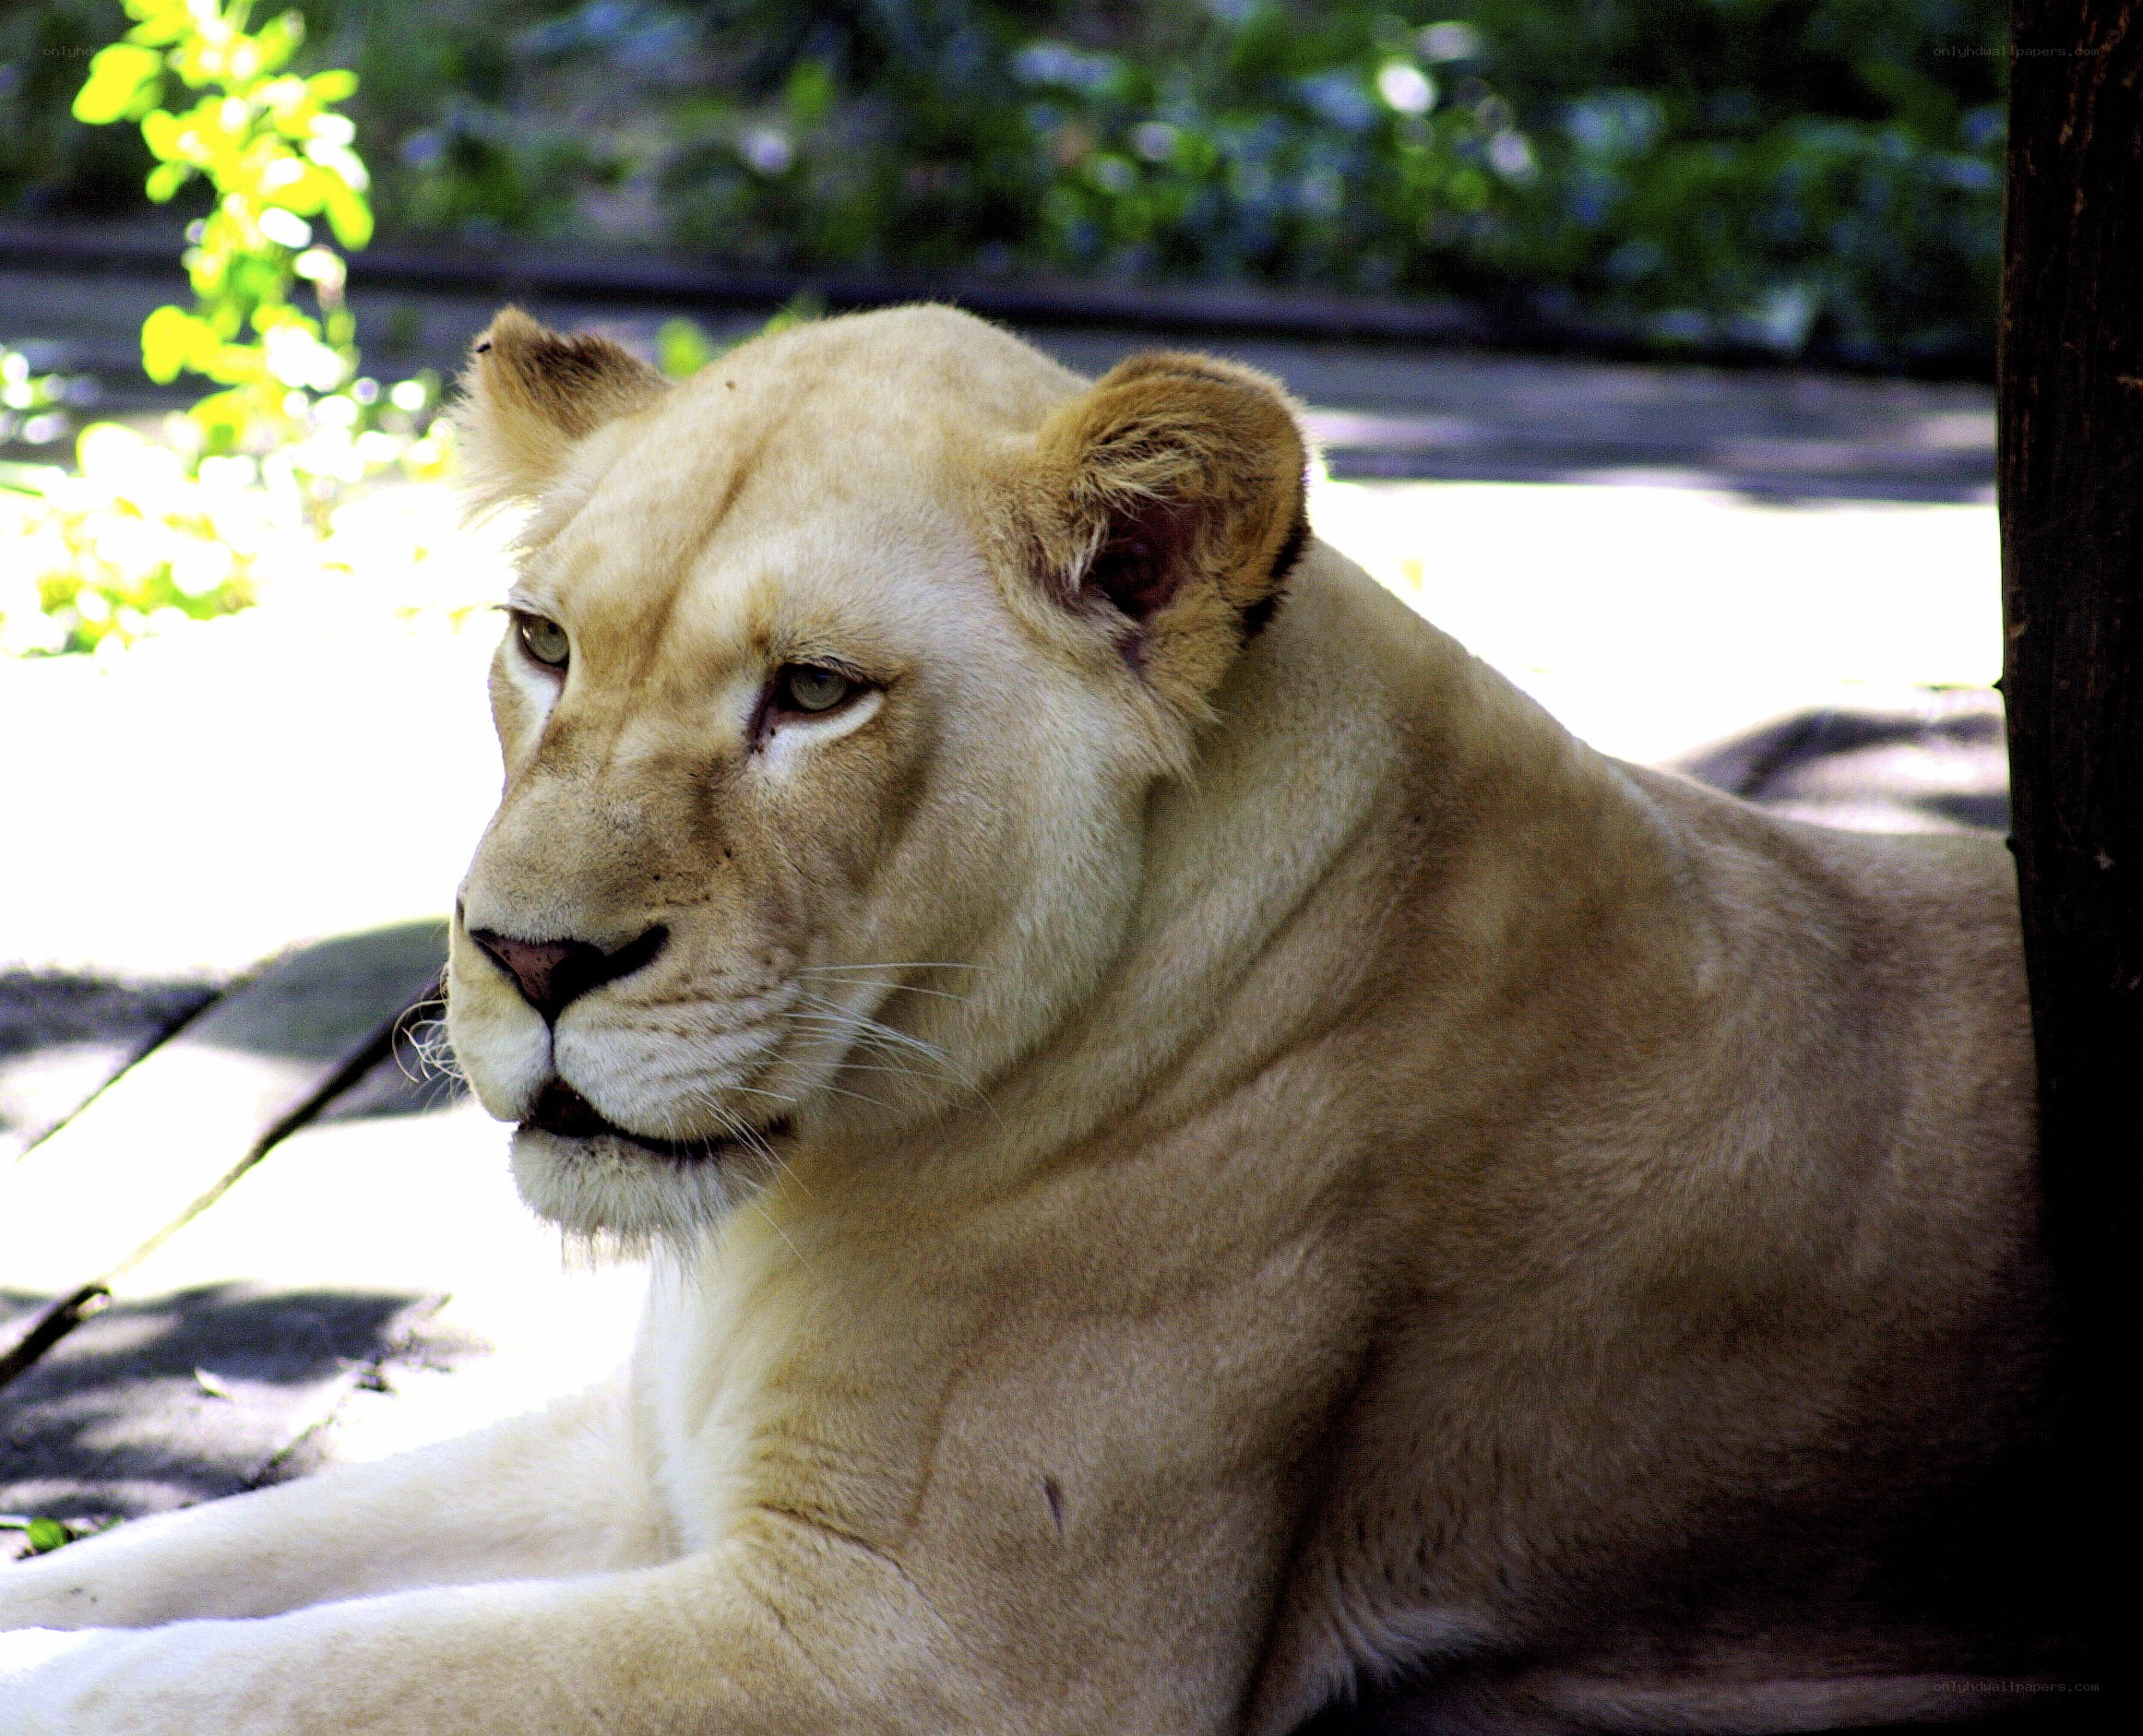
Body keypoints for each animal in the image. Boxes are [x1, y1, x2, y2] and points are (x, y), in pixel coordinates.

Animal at [0, 306, 2079, 1733]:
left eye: (813, 693)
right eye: (543, 643)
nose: (525, 957)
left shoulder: (934, 1646)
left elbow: (293, 1667)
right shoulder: (659, 1456)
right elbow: (211, 1562)